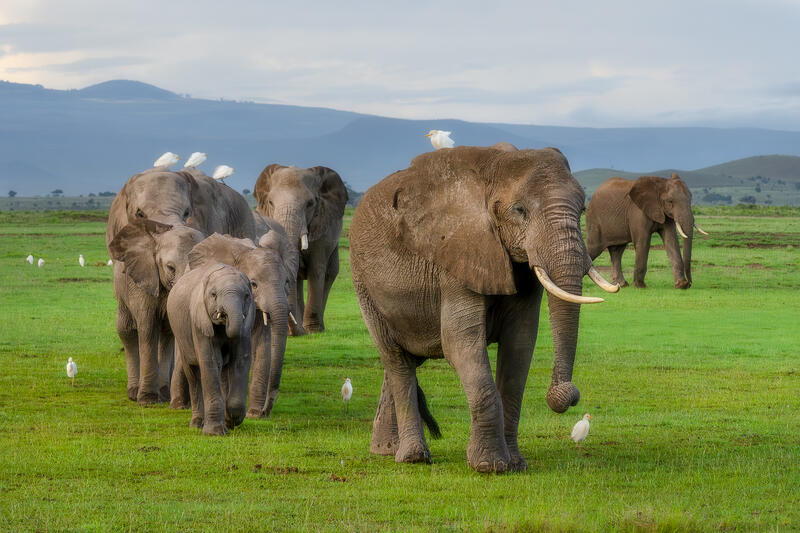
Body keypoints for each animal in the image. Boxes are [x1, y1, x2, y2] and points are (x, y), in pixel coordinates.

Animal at [107, 218, 205, 403]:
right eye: (170, 268)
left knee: (164, 337)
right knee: (126, 332)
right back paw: (134, 393)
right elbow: (148, 328)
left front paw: (163, 395)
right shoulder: (144, 282)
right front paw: (148, 399)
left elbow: (168, 331)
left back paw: (163, 394)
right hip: (122, 293)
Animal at [166, 262, 255, 435]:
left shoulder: (246, 325)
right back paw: (197, 424)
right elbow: (211, 362)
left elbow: (240, 361)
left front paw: (231, 421)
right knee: (193, 374)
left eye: (247, 296)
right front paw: (215, 432)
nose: (224, 316)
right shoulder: (199, 322)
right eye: (213, 295)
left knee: (223, 371)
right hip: (180, 334)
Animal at [253, 165, 348, 334]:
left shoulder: (323, 227)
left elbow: (316, 270)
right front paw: (296, 332)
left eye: (310, 203)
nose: (297, 332)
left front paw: (313, 330)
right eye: (270, 202)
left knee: (330, 273)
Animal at [350, 145, 618, 473]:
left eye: (582, 211)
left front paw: (516, 464)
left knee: (405, 360)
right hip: (363, 283)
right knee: (396, 358)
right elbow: (460, 343)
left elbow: (520, 345)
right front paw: (490, 466)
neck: (495, 169)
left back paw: (385, 451)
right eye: (520, 211)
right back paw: (413, 457)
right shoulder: (457, 256)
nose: (568, 395)